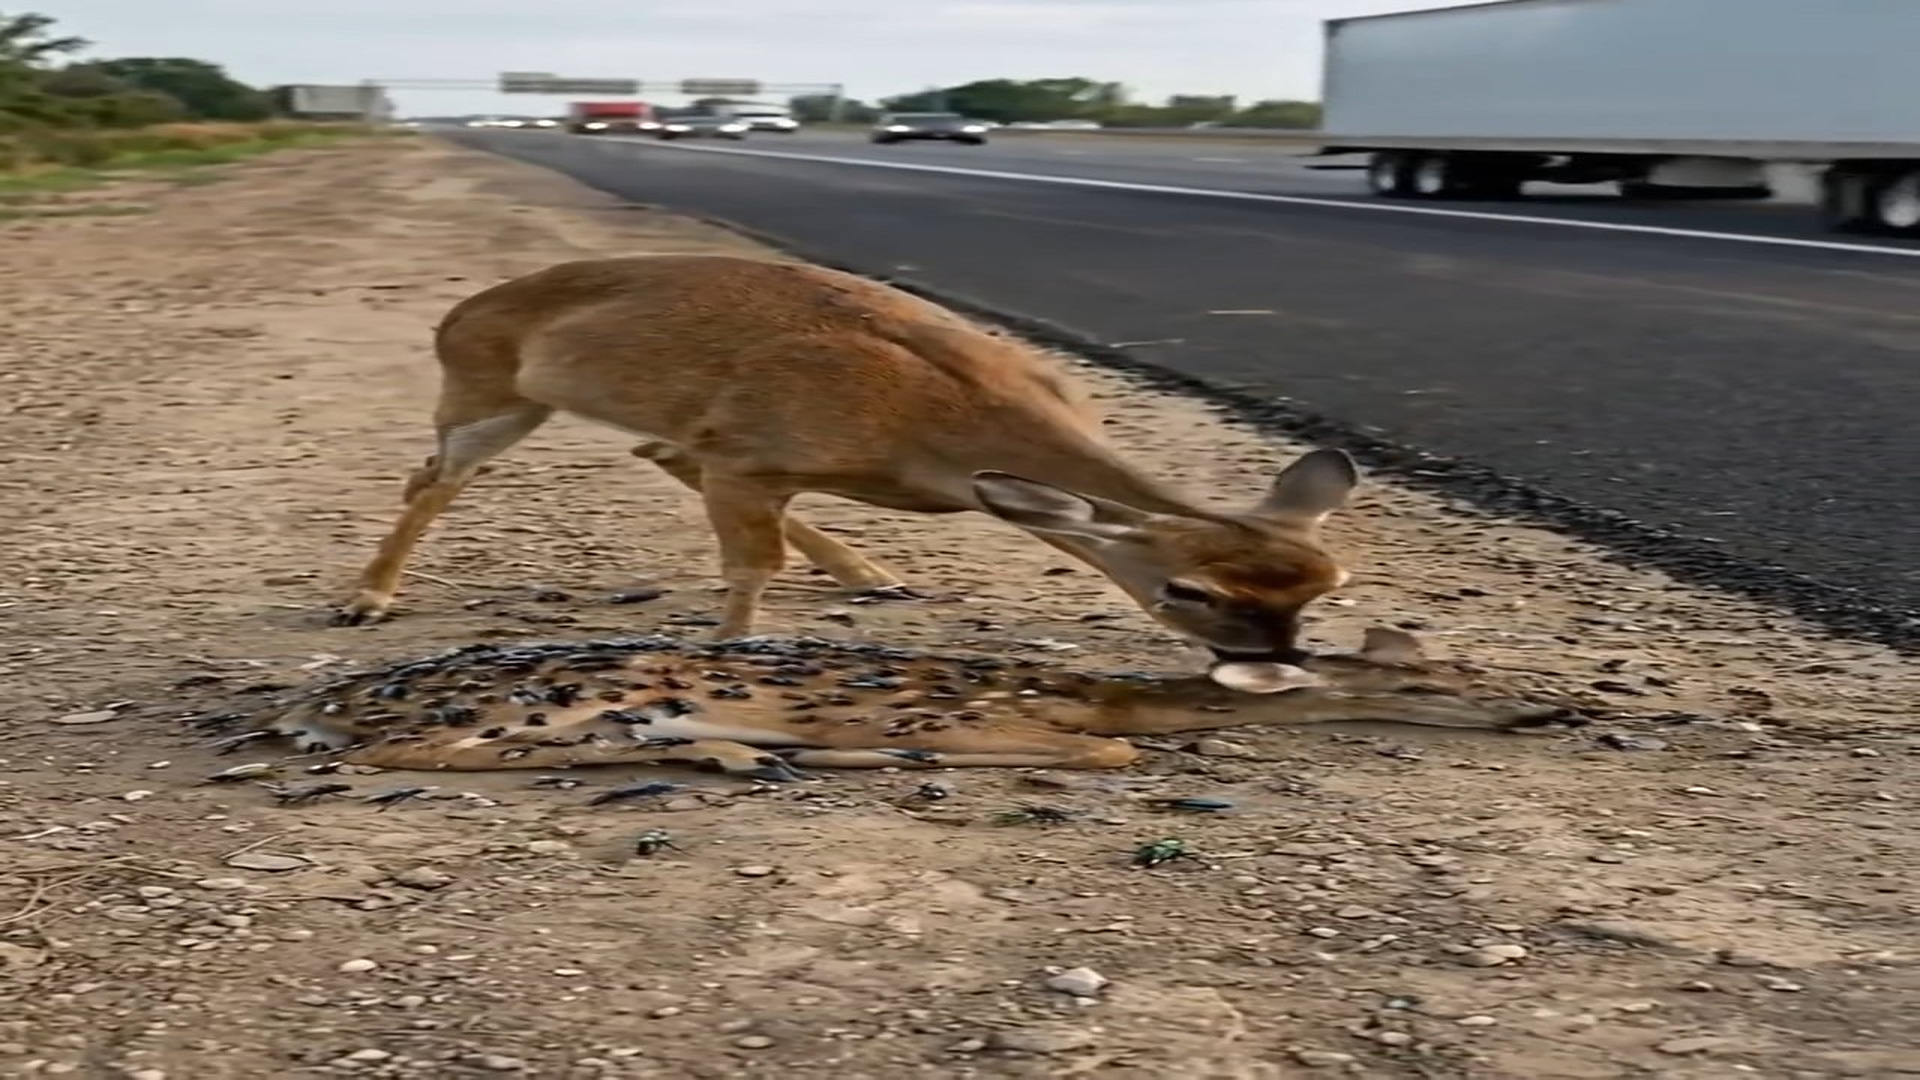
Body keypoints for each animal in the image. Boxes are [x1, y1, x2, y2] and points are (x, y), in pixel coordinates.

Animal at [331, 255, 1364, 680]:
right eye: (1191, 591)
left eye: (1329, 584)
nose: (1275, 659)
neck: (936, 430)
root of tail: (458, 311)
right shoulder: (752, 453)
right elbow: (754, 565)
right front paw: (728, 652)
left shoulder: (746, 455)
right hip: (486, 392)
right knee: (433, 480)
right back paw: (366, 599)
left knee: (653, 447)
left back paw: (873, 573)